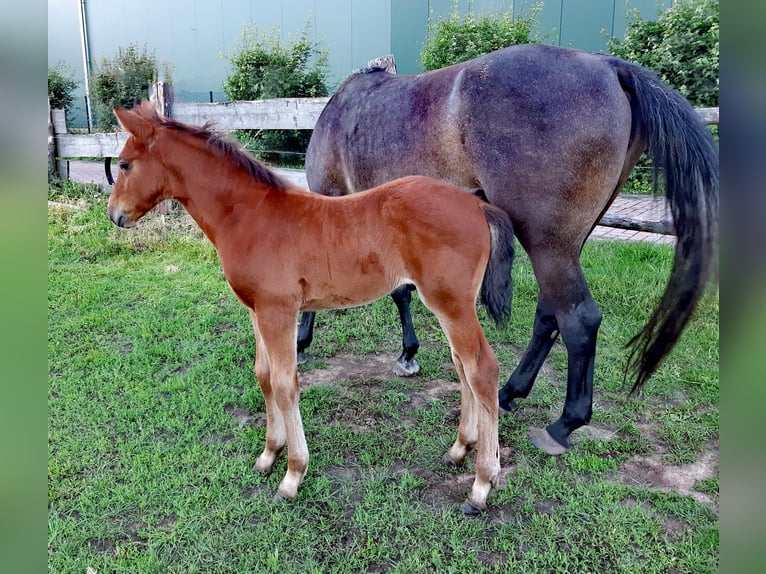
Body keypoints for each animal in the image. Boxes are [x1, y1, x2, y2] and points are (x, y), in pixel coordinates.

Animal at [296, 45, 716, 456]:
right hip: (565, 246)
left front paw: (305, 343)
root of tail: (609, 66)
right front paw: (408, 354)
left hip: (549, 245)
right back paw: (510, 393)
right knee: (549, 316)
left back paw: (562, 425)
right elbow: (401, 290)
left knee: (578, 320)